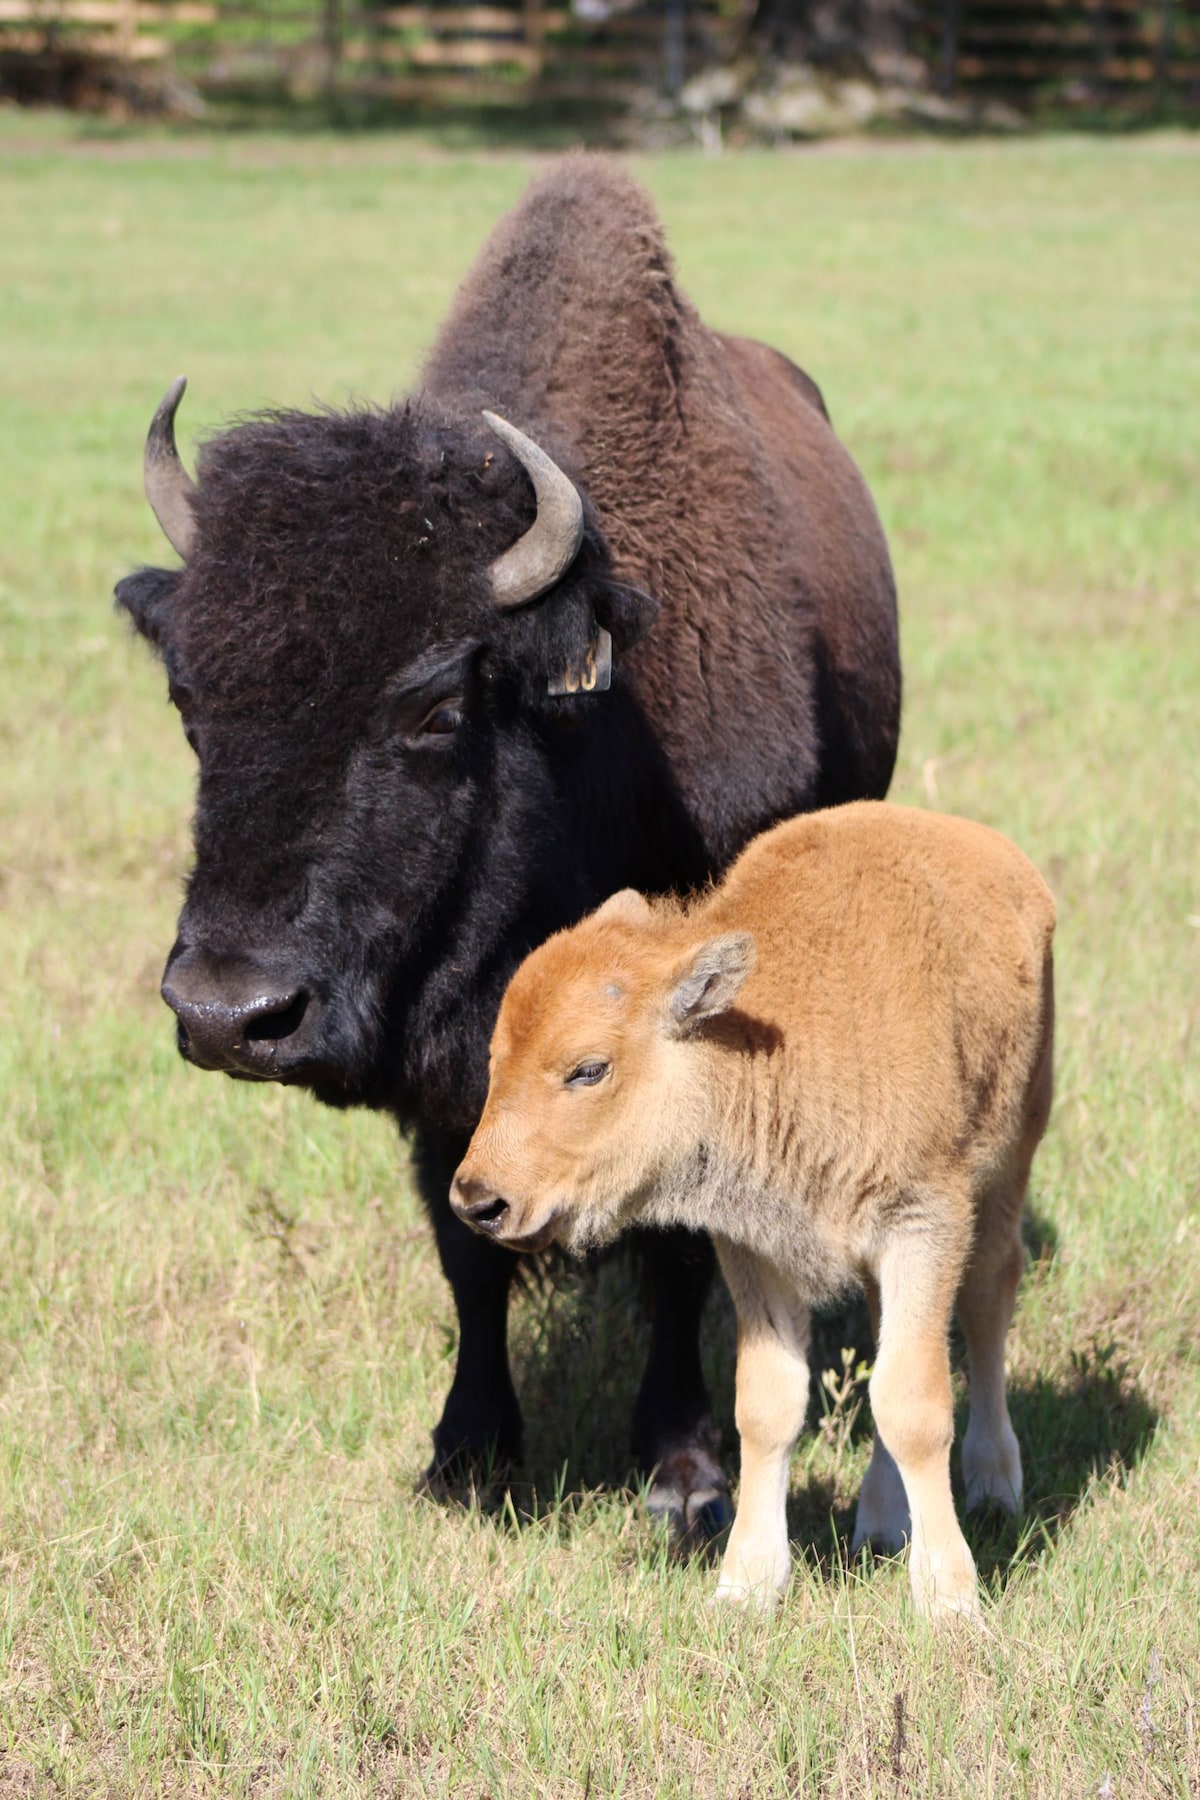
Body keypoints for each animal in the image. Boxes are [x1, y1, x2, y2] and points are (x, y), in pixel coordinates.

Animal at [116, 158, 899, 1533]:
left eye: (436, 707)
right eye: (189, 698)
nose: (227, 1014)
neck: (593, 726)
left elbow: (676, 1246)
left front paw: (686, 1471)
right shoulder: (447, 1074)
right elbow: (464, 1244)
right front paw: (466, 1453)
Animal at [449, 802, 1050, 1620]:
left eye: (588, 1069)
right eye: (495, 1063)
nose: (478, 1199)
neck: (758, 1042)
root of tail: (998, 856)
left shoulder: (924, 1224)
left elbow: (913, 1402)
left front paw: (950, 1600)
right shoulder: (756, 1251)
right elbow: (769, 1406)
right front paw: (746, 1586)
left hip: (1011, 1157)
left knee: (989, 1297)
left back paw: (993, 1487)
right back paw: (881, 1522)